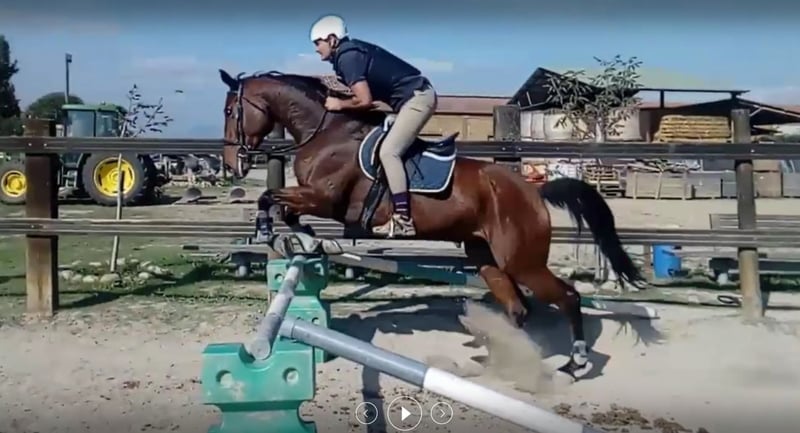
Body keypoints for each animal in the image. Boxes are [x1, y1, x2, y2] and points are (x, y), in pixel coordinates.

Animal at [218, 69, 645, 379]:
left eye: (229, 111)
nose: (231, 164)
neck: (326, 132)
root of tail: (535, 191)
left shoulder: (324, 198)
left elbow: (272, 199)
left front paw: (272, 231)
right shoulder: (315, 198)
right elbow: (286, 209)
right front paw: (307, 241)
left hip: (521, 261)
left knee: (568, 297)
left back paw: (576, 363)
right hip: (486, 258)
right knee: (518, 308)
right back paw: (504, 360)